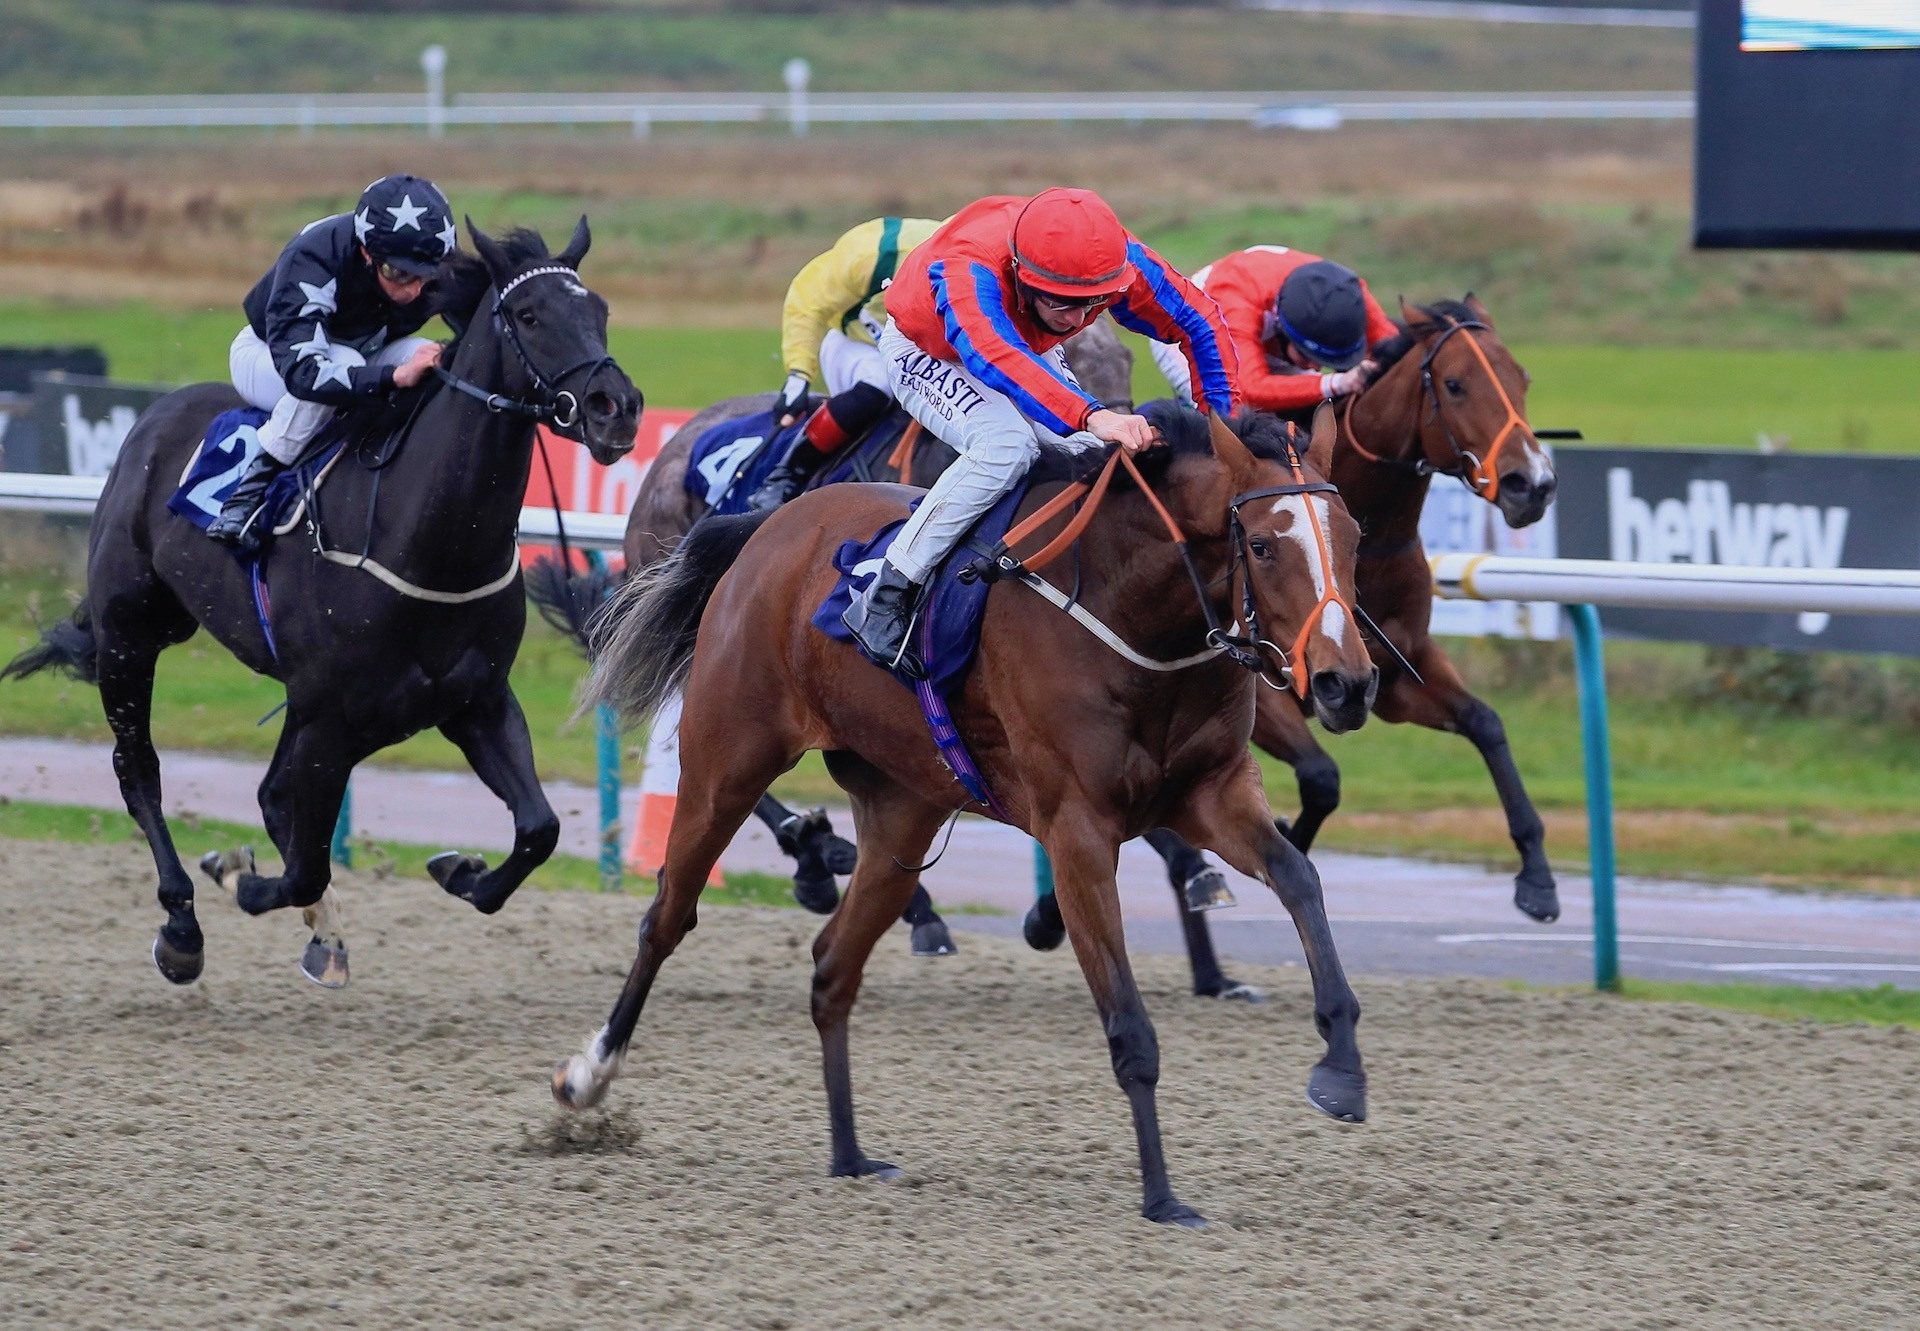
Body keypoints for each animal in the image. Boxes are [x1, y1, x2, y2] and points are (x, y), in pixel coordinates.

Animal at [556, 401, 1382, 1221]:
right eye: (1265, 545)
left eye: (1354, 538)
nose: (1346, 682)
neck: (1128, 607)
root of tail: (766, 528)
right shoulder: (1078, 829)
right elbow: (1128, 1023)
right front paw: (1161, 1194)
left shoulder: (1211, 790)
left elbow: (1298, 875)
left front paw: (1341, 1066)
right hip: (727, 761)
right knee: (668, 916)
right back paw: (589, 1072)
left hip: (902, 811)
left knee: (832, 965)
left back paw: (850, 1153)